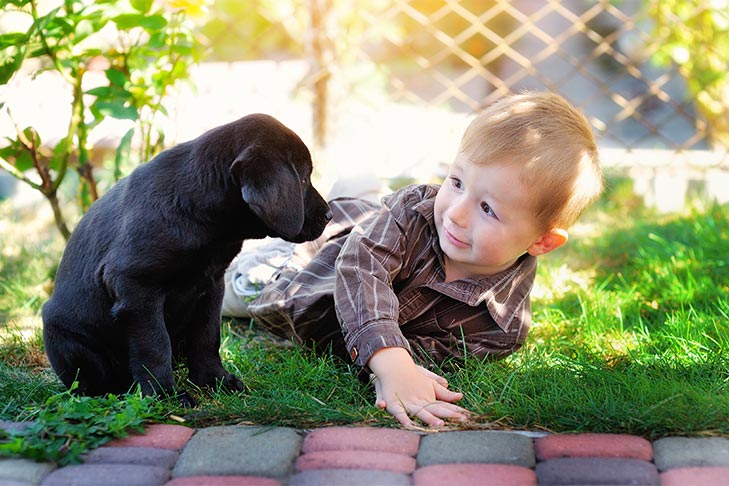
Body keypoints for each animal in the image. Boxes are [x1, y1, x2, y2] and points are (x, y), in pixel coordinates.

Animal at [41, 114, 332, 402]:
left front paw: (214, 380)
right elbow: (155, 345)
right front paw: (165, 394)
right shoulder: (136, 287)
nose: (329, 215)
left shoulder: (212, 285)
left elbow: (207, 336)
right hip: (67, 338)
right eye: (303, 179)